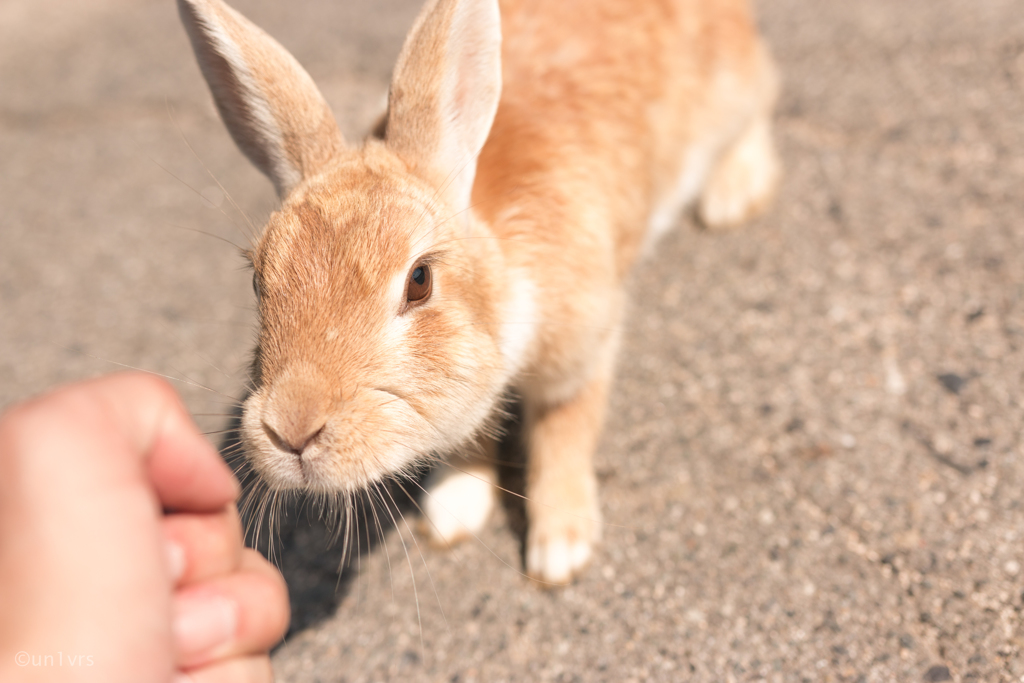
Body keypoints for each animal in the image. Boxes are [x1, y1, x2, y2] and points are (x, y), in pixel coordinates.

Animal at [180, 0, 778, 585]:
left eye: (419, 280)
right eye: (258, 279)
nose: (291, 430)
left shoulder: (583, 345)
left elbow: (564, 425)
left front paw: (560, 549)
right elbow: (473, 433)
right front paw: (454, 509)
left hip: (730, 89)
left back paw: (732, 193)